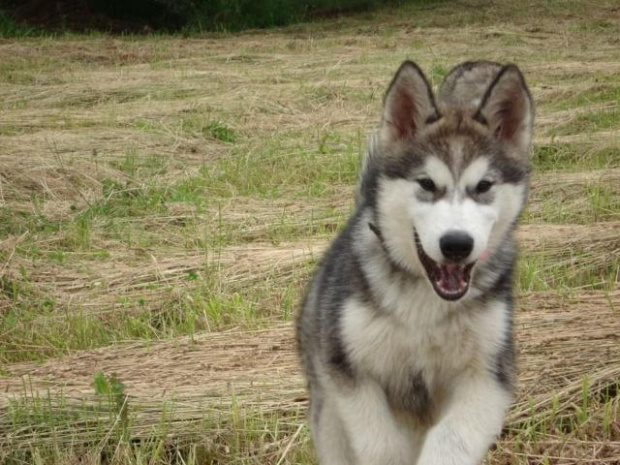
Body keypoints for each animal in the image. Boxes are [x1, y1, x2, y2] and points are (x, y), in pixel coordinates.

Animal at [296, 59, 532, 464]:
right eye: (426, 183)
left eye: (484, 186)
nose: (457, 244)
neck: (425, 306)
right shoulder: (350, 372)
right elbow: (381, 446)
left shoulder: (487, 378)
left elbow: (451, 440)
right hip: (328, 413)